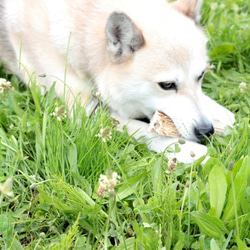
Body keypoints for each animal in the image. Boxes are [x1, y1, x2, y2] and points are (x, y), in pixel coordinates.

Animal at [0, 0, 234, 163]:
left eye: (200, 76)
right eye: (167, 85)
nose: (206, 130)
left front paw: (222, 115)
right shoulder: (83, 111)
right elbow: (141, 130)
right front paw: (188, 150)